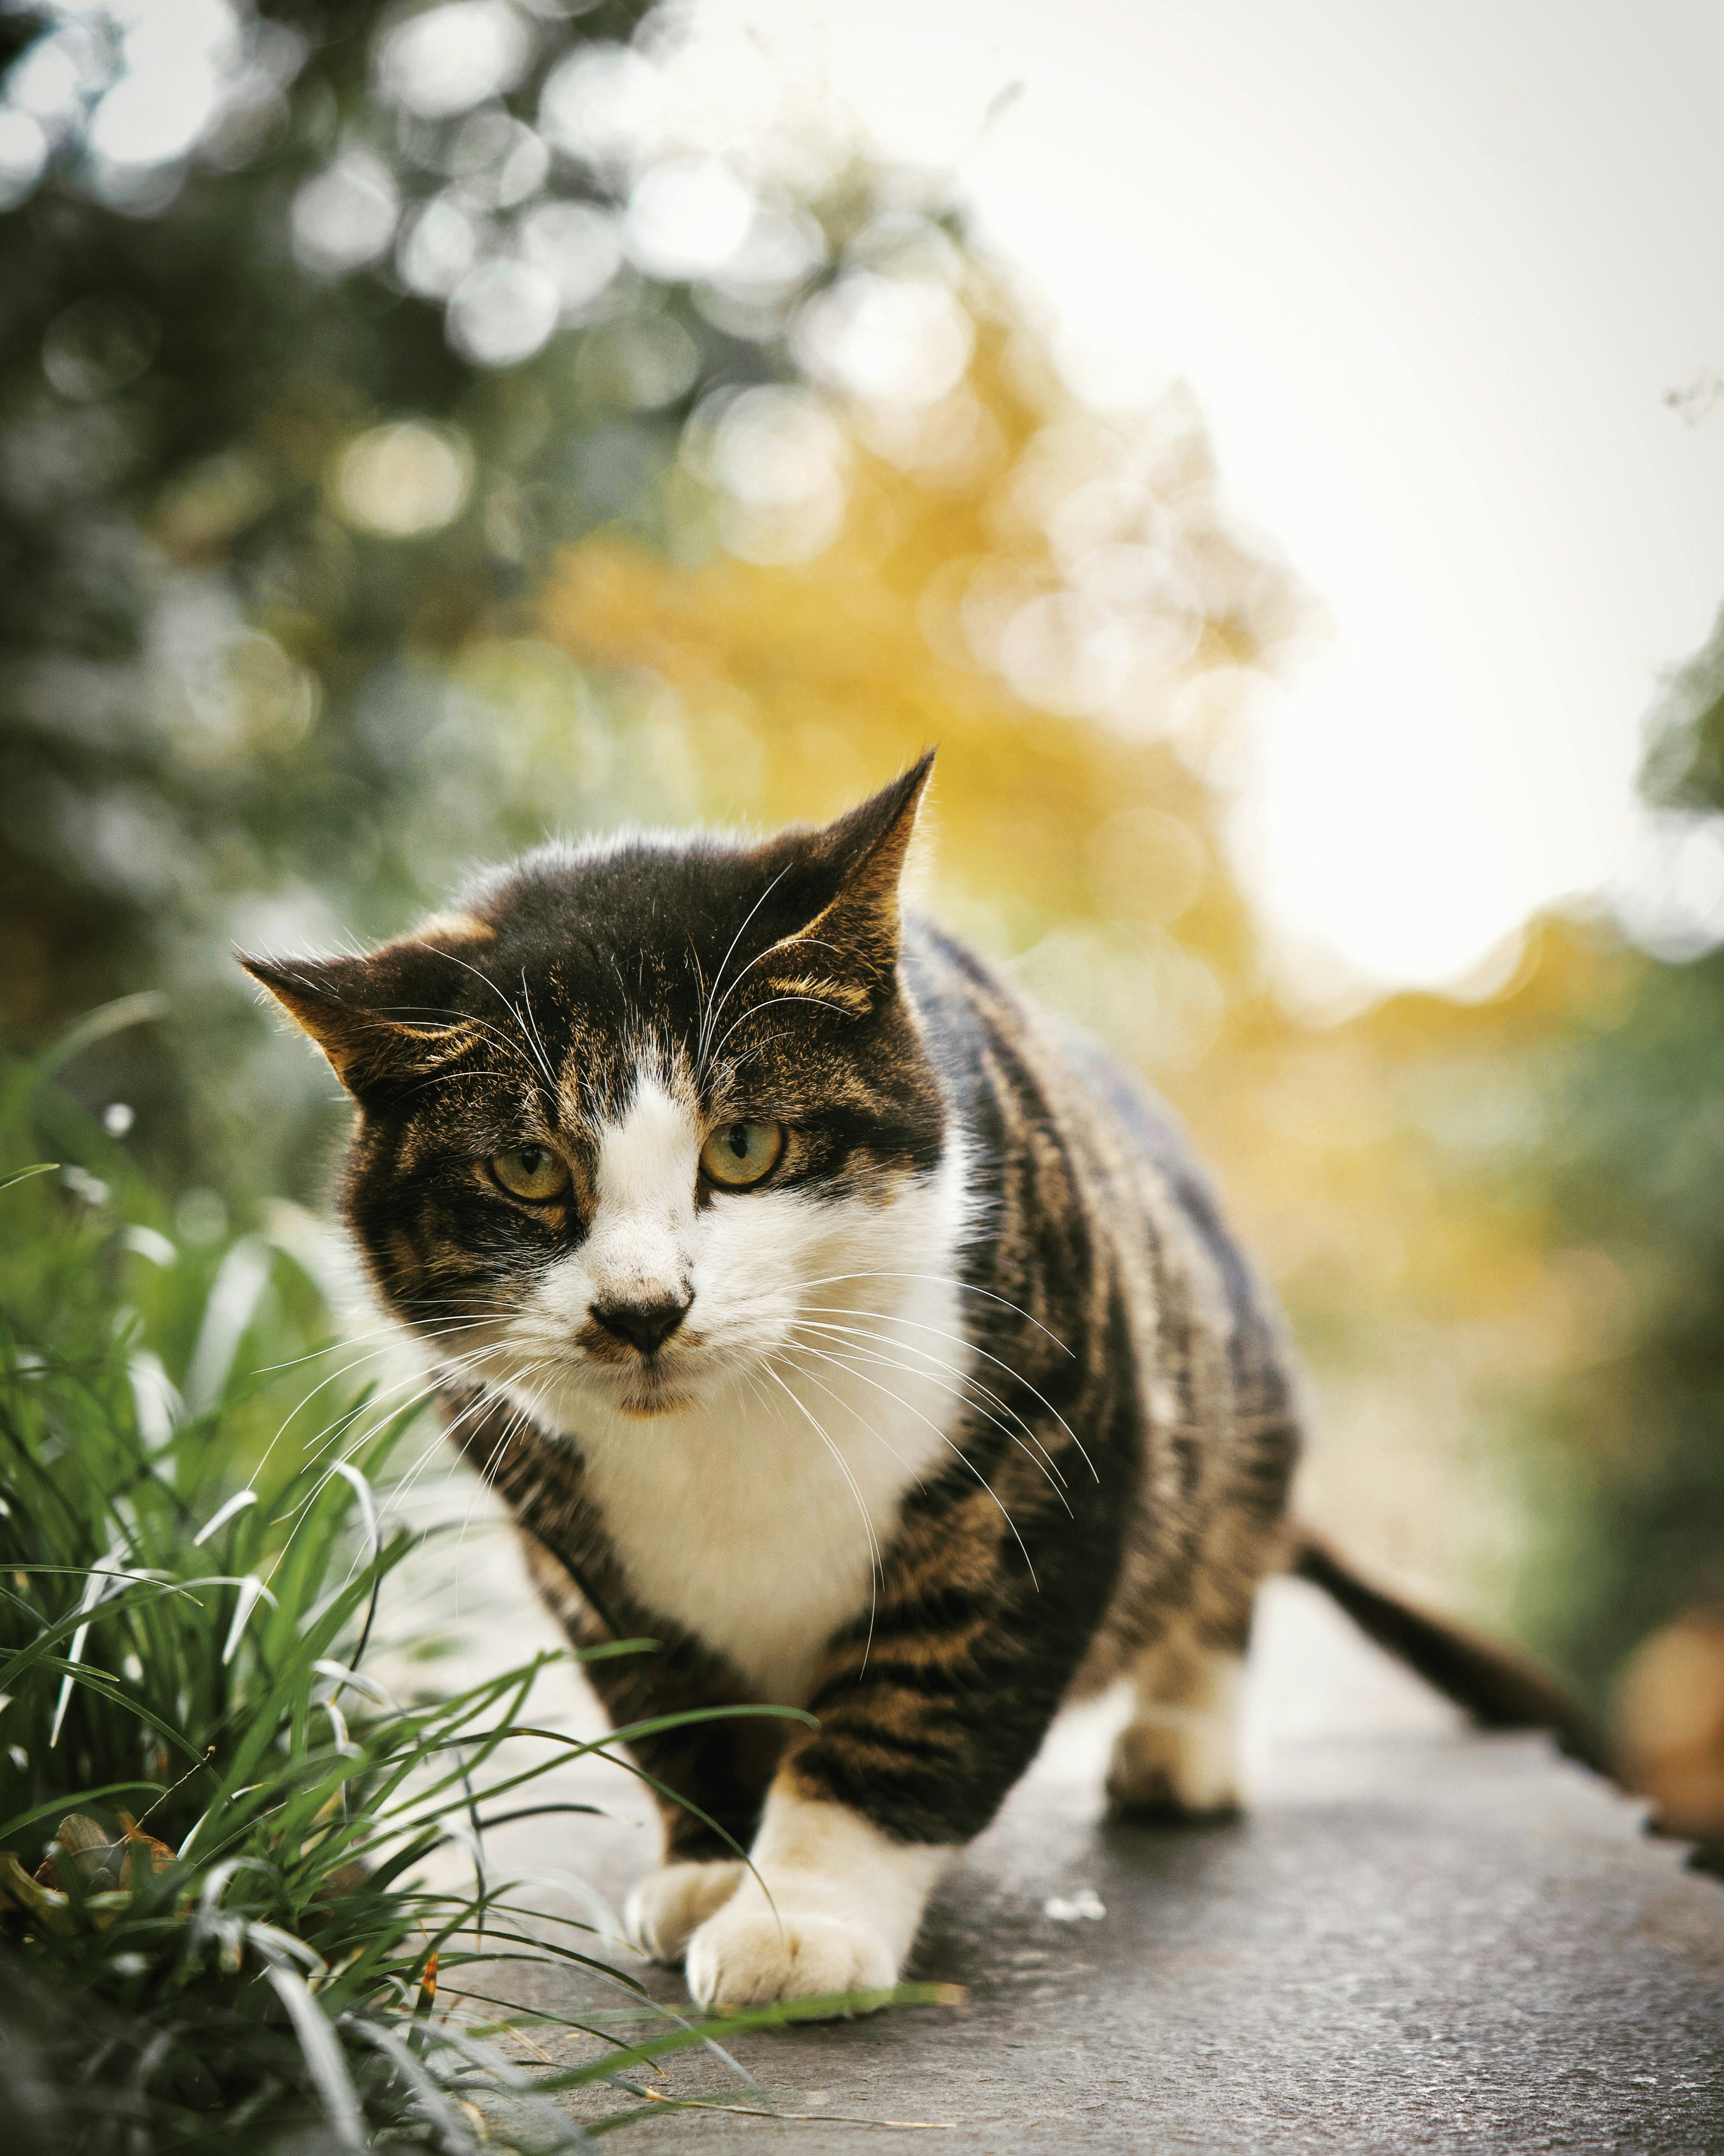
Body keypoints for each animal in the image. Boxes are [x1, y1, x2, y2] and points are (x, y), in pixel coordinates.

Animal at [248, 754, 1612, 2001]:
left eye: (745, 1145)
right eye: (529, 1168)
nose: (643, 1309)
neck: (729, 1438)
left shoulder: (1042, 1451)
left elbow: (910, 1712)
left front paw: (799, 1918)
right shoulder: (569, 1543)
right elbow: (672, 1707)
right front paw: (710, 1866)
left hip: (1223, 1379)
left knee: (1226, 1554)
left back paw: (1181, 1743)